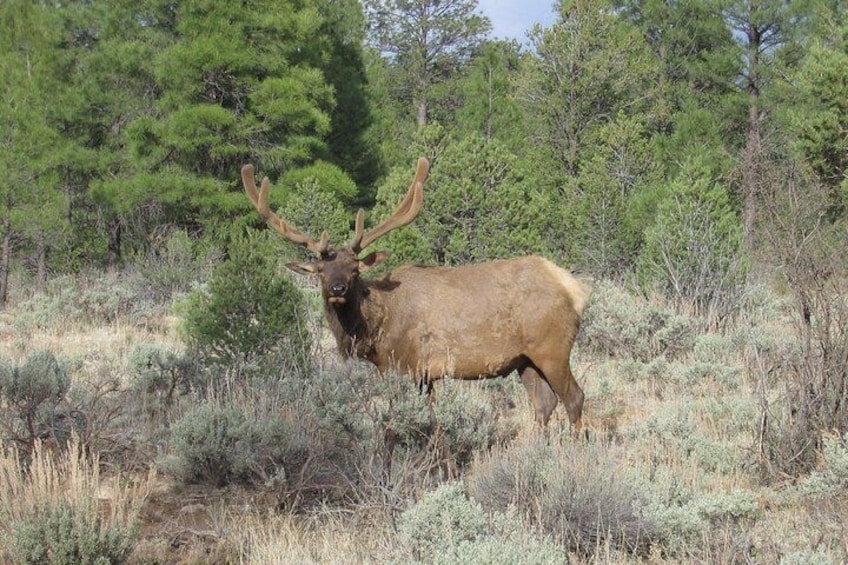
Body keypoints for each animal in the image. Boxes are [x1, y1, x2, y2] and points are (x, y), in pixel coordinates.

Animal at [242, 156, 592, 430]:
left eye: (355, 270)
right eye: (321, 272)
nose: (338, 289)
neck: (376, 329)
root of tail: (574, 288)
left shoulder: (408, 366)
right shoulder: (416, 374)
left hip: (552, 347)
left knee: (574, 398)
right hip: (525, 359)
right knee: (544, 404)